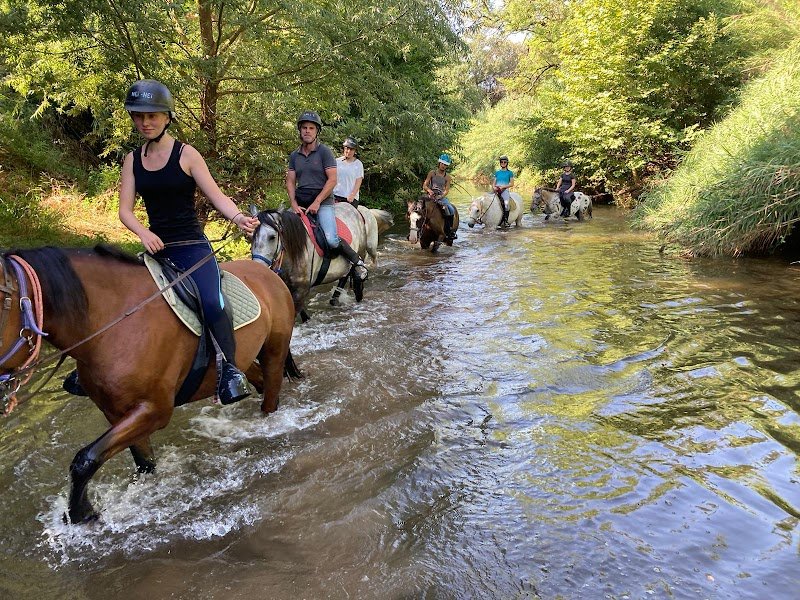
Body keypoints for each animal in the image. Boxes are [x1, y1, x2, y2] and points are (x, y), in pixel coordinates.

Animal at [0, 245, 297, 524]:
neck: (115, 322)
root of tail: (268, 273)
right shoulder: (116, 412)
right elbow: (142, 462)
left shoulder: (155, 410)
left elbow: (85, 459)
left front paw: (81, 514)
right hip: (245, 359)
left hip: (274, 350)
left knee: (271, 394)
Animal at [249, 203, 393, 317]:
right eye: (252, 235)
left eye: (272, 237)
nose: (257, 267)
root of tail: (356, 209)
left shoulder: (301, 290)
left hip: (364, 249)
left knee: (358, 269)